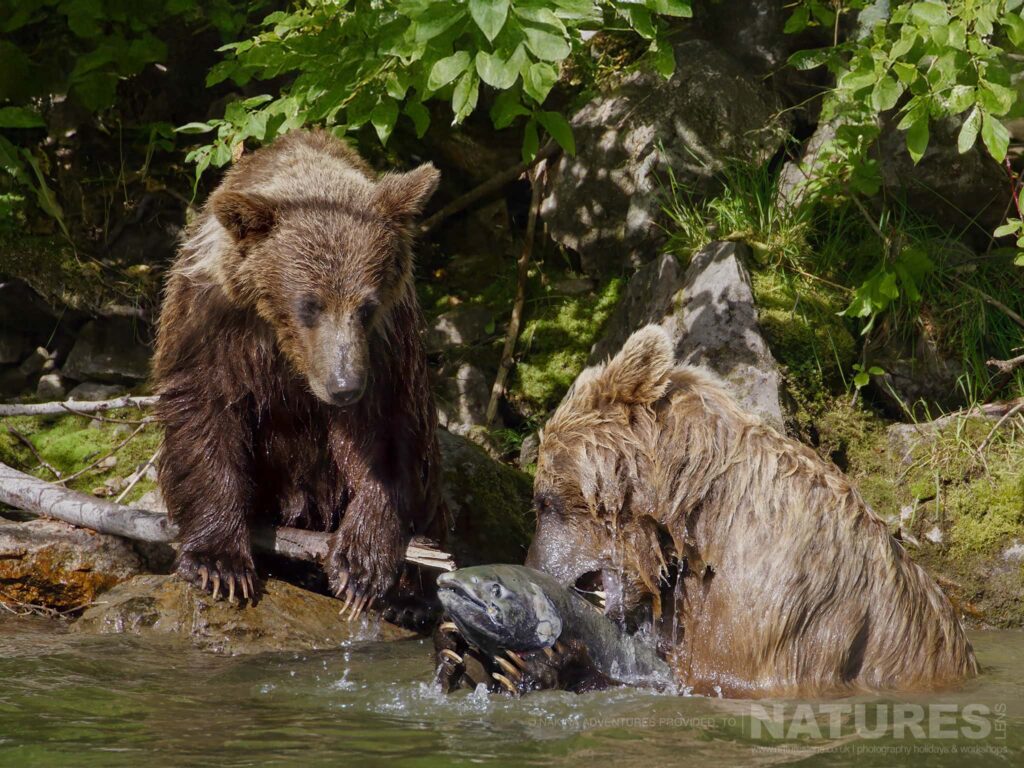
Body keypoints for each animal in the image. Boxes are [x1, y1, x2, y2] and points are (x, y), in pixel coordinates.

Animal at [153, 130, 446, 616]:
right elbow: (203, 413)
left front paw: (361, 566)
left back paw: (410, 597)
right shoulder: (210, 323)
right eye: (309, 304)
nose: (344, 387)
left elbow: (388, 435)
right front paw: (220, 563)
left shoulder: (388, 347)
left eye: (365, 306)